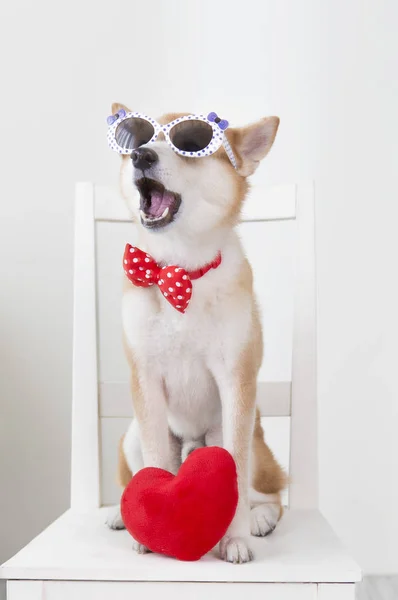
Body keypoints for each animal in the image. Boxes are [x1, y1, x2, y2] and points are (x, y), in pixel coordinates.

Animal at [105, 104, 286, 564]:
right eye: (137, 137)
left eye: (190, 144)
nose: (142, 156)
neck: (178, 271)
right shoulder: (146, 381)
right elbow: (153, 466)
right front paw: (146, 528)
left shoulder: (235, 381)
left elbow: (235, 473)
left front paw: (234, 538)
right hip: (133, 435)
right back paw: (119, 513)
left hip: (237, 436)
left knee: (271, 492)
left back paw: (259, 519)